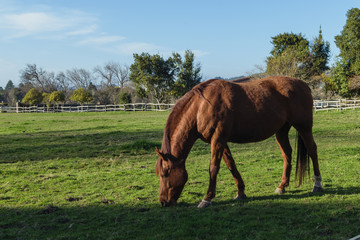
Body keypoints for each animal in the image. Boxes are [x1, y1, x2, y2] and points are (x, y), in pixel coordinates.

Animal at [155, 76, 324, 207]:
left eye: (165, 173)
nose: (163, 202)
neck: (201, 107)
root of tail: (304, 85)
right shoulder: (220, 141)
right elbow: (231, 164)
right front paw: (241, 192)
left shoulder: (218, 139)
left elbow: (213, 168)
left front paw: (207, 199)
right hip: (281, 131)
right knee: (287, 154)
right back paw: (282, 186)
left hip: (303, 127)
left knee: (312, 150)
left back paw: (317, 184)